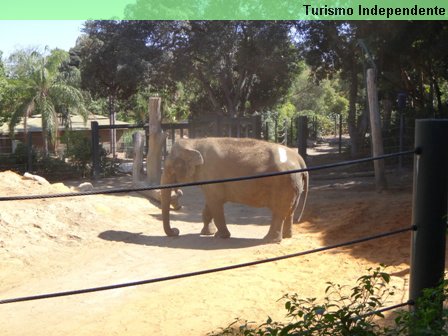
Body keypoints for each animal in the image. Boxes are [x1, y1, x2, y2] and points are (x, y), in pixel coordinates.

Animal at [160, 138, 308, 243]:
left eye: (170, 169)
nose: (176, 231)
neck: (194, 142)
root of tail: (299, 158)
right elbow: (209, 205)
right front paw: (207, 233)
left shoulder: (210, 175)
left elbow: (215, 204)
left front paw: (221, 236)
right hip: (294, 185)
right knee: (289, 211)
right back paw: (287, 236)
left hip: (284, 184)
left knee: (279, 211)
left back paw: (269, 239)